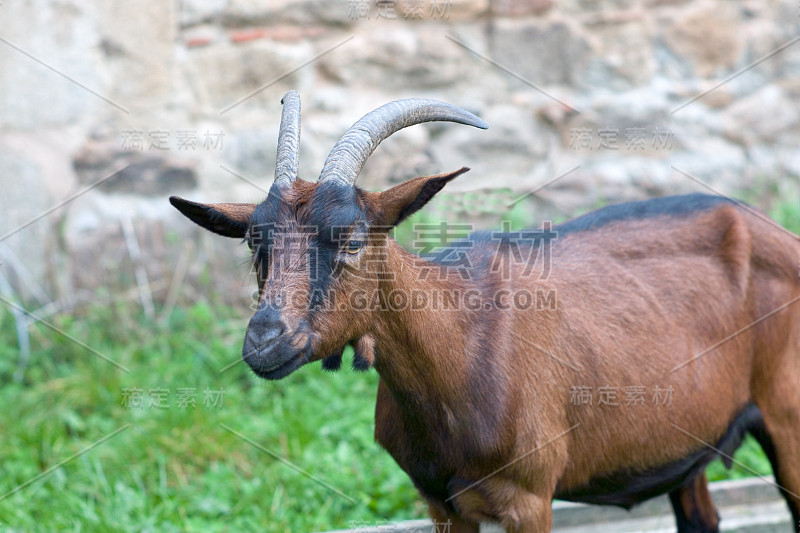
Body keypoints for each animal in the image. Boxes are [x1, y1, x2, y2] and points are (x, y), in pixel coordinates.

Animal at [170, 89, 800, 528]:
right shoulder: (441, 503)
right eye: (255, 244)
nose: (265, 341)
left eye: (351, 239)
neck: (457, 349)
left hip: (786, 418)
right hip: (686, 447)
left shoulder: (529, 498)